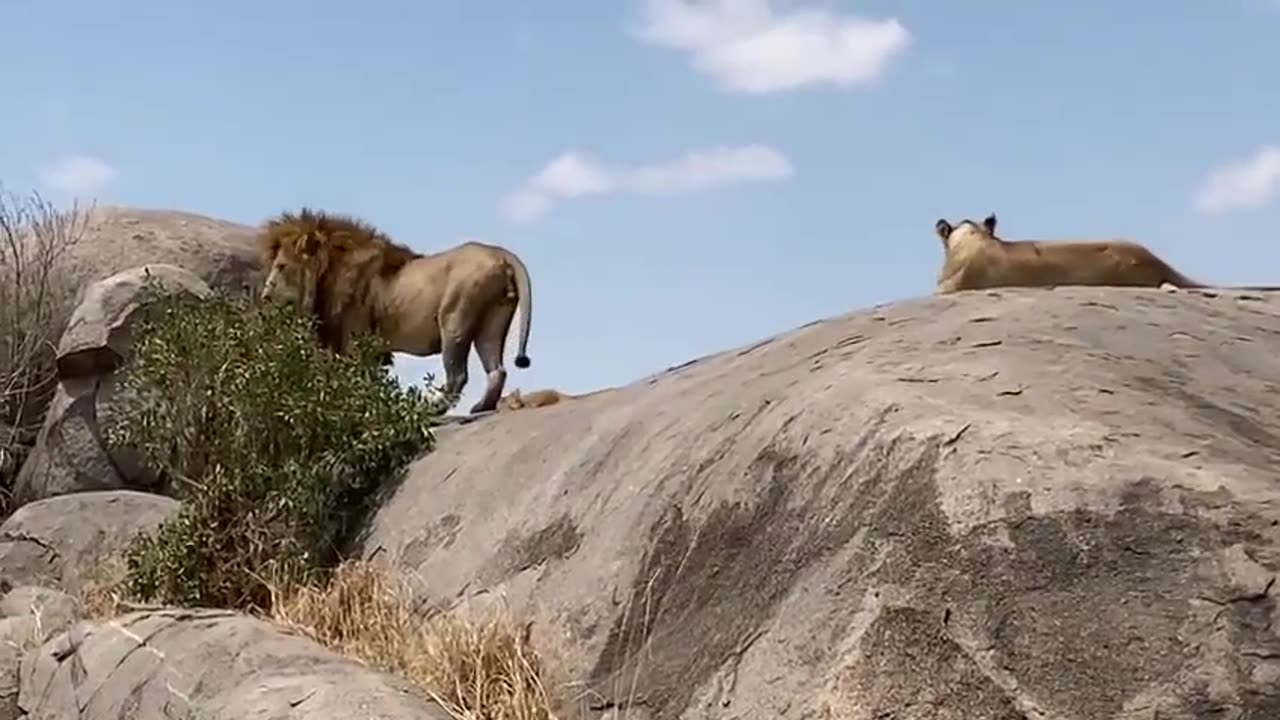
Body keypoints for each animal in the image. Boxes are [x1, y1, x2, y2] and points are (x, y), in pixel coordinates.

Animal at [259, 204, 535, 412]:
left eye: (281, 266)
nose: (265, 296)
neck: (326, 273)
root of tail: (501, 254)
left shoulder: (355, 340)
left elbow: (358, 382)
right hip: (492, 321)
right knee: (497, 370)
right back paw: (481, 407)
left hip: (454, 319)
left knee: (457, 375)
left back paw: (429, 411)